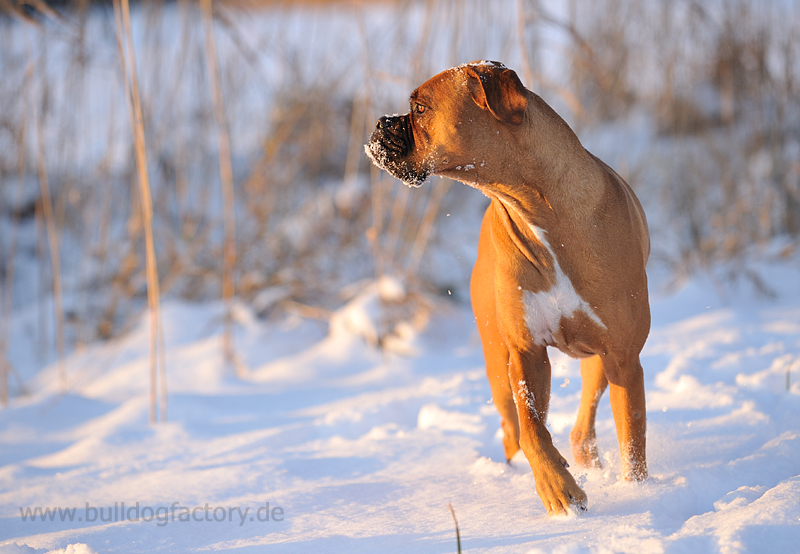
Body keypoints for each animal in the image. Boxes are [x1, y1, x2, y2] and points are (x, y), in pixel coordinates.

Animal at [368, 60, 648, 512]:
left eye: (420, 107)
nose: (379, 123)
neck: (537, 208)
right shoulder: (525, 353)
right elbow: (532, 430)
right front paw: (558, 488)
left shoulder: (623, 356)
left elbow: (633, 442)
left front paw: (642, 495)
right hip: (498, 366)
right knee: (514, 430)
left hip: (601, 361)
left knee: (583, 422)